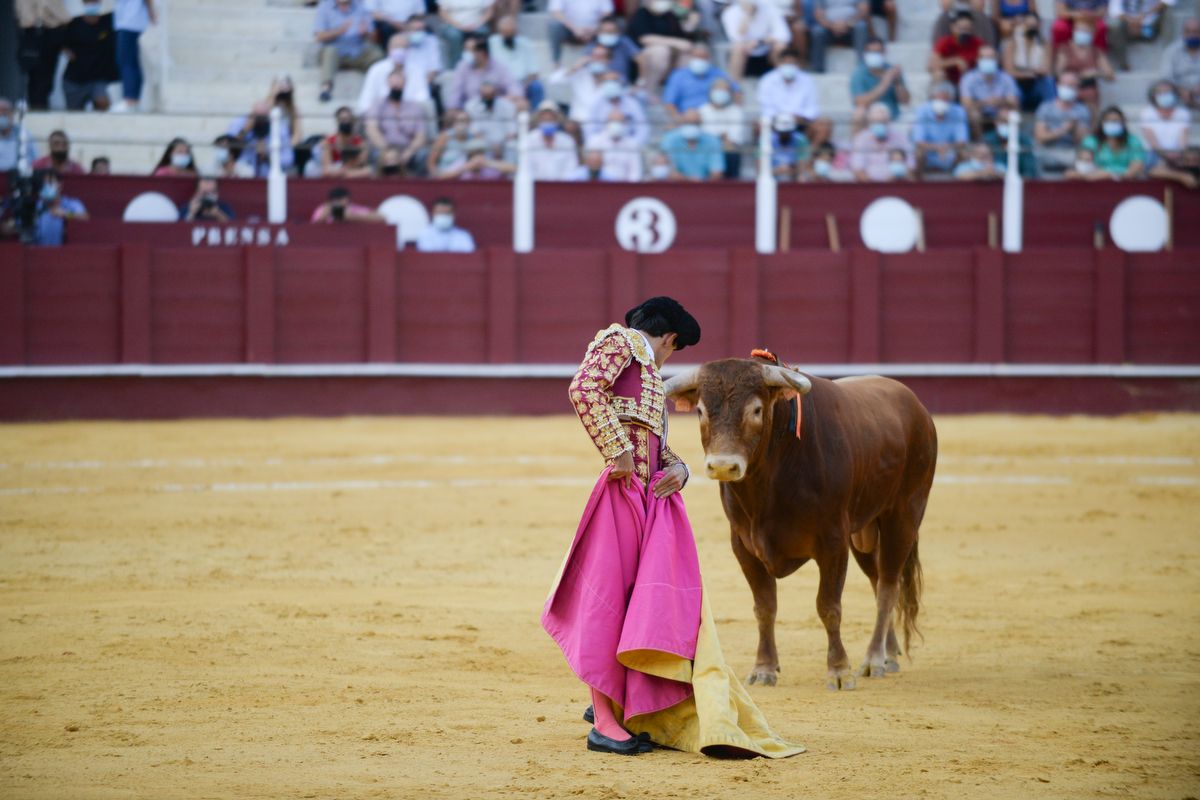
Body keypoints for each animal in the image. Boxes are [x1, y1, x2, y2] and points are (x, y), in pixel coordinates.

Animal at [667, 359, 936, 690]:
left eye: (757, 410)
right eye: (701, 410)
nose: (722, 466)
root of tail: (917, 407)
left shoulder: (833, 542)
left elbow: (829, 606)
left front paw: (839, 670)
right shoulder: (743, 545)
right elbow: (765, 607)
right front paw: (764, 668)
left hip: (904, 515)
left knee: (888, 585)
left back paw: (873, 659)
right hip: (864, 532)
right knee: (879, 580)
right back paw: (889, 653)